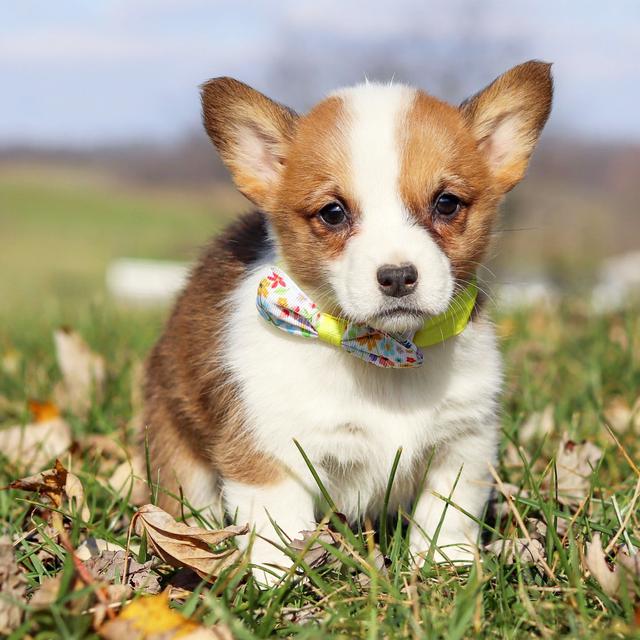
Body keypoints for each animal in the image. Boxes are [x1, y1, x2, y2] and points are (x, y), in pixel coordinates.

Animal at [142, 61, 552, 584]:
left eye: (446, 203)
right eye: (333, 213)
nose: (397, 277)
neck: (384, 354)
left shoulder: (463, 443)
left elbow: (447, 518)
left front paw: (445, 570)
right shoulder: (271, 455)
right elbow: (279, 531)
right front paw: (282, 582)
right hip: (178, 452)